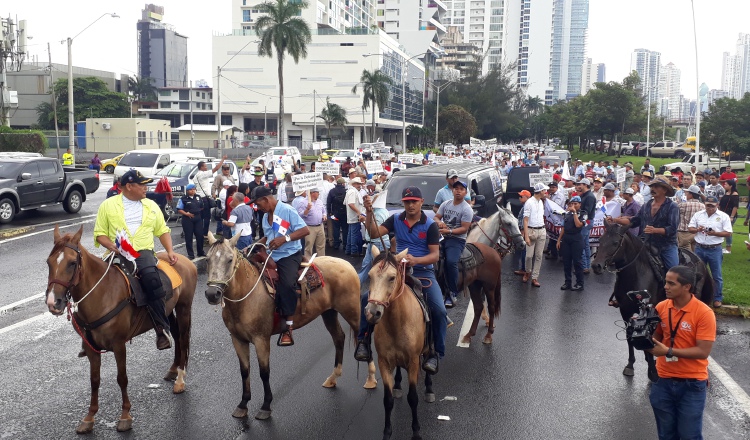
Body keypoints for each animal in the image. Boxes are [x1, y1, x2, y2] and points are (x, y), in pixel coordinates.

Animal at [43, 227, 197, 434]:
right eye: (49, 262)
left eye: (72, 263)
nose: (54, 302)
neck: (101, 294)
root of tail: (180, 258)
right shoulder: (91, 349)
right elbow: (94, 380)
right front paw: (89, 417)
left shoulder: (118, 345)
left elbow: (122, 378)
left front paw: (125, 416)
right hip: (168, 310)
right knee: (174, 334)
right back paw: (173, 369)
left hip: (183, 308)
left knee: (183, 338)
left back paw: (180, 379)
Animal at [204, 232, 374, 422]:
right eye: (207, 259)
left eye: (229, 259)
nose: (212, 294)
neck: (246, 296)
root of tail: (347, 264)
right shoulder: (237, 339)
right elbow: (245, 371)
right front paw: (243, 404)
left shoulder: (261, 339)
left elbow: (264, 372)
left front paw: (266, 406)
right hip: (329, 313)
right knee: (339, 338)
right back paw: (333, 377)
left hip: (352, 312)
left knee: (364, 337)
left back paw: (371, 378)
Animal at [366, 248, 434, 440]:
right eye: (369, 276)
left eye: (391, 277)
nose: (372, 313)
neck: (396, 322)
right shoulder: (383, 361)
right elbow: (387, 400)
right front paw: (387, 432)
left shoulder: (413, 362)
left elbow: (413, 398)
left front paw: (416, 432)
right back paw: (397, 385)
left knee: (429, 360)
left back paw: (429, 387)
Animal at [596, 223, 712, 382]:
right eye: (600, 240)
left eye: (615, 243)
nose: (596, 266)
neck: (636, 274)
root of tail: (697, 258)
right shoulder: (625, 311)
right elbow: (629, 337)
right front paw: (630, 365)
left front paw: (652, 370)